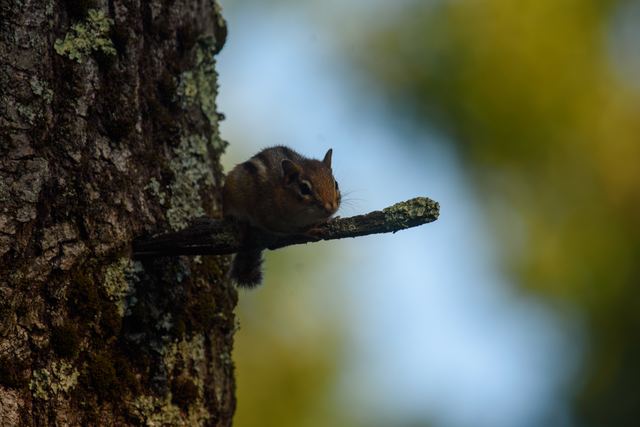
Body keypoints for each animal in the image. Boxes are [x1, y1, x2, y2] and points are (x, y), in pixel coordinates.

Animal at [223, 146, 341, 288]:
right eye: (304, 188)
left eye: (336, 184)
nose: (330, 207)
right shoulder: (268, 216)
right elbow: (289, 230)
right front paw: (308, 230)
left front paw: (329, 219)